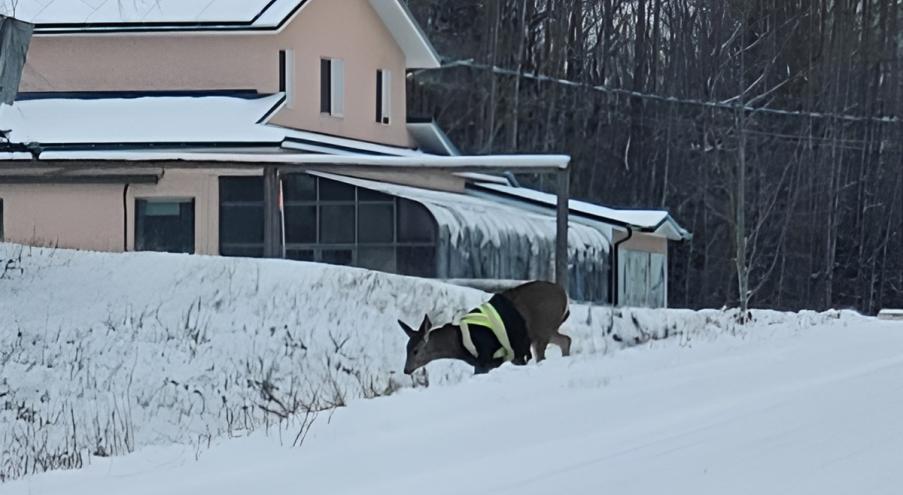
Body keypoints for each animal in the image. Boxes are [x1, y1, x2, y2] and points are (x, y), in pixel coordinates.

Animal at [400, 280, 572, 374]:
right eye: (406, 349)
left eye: (415, 350)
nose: (406, 370)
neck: (459, 343)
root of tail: (564, 295)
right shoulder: (487, 362)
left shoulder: (488, 356)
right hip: (546, 330)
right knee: (566, 340)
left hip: (542, 326)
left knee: (543, 355)